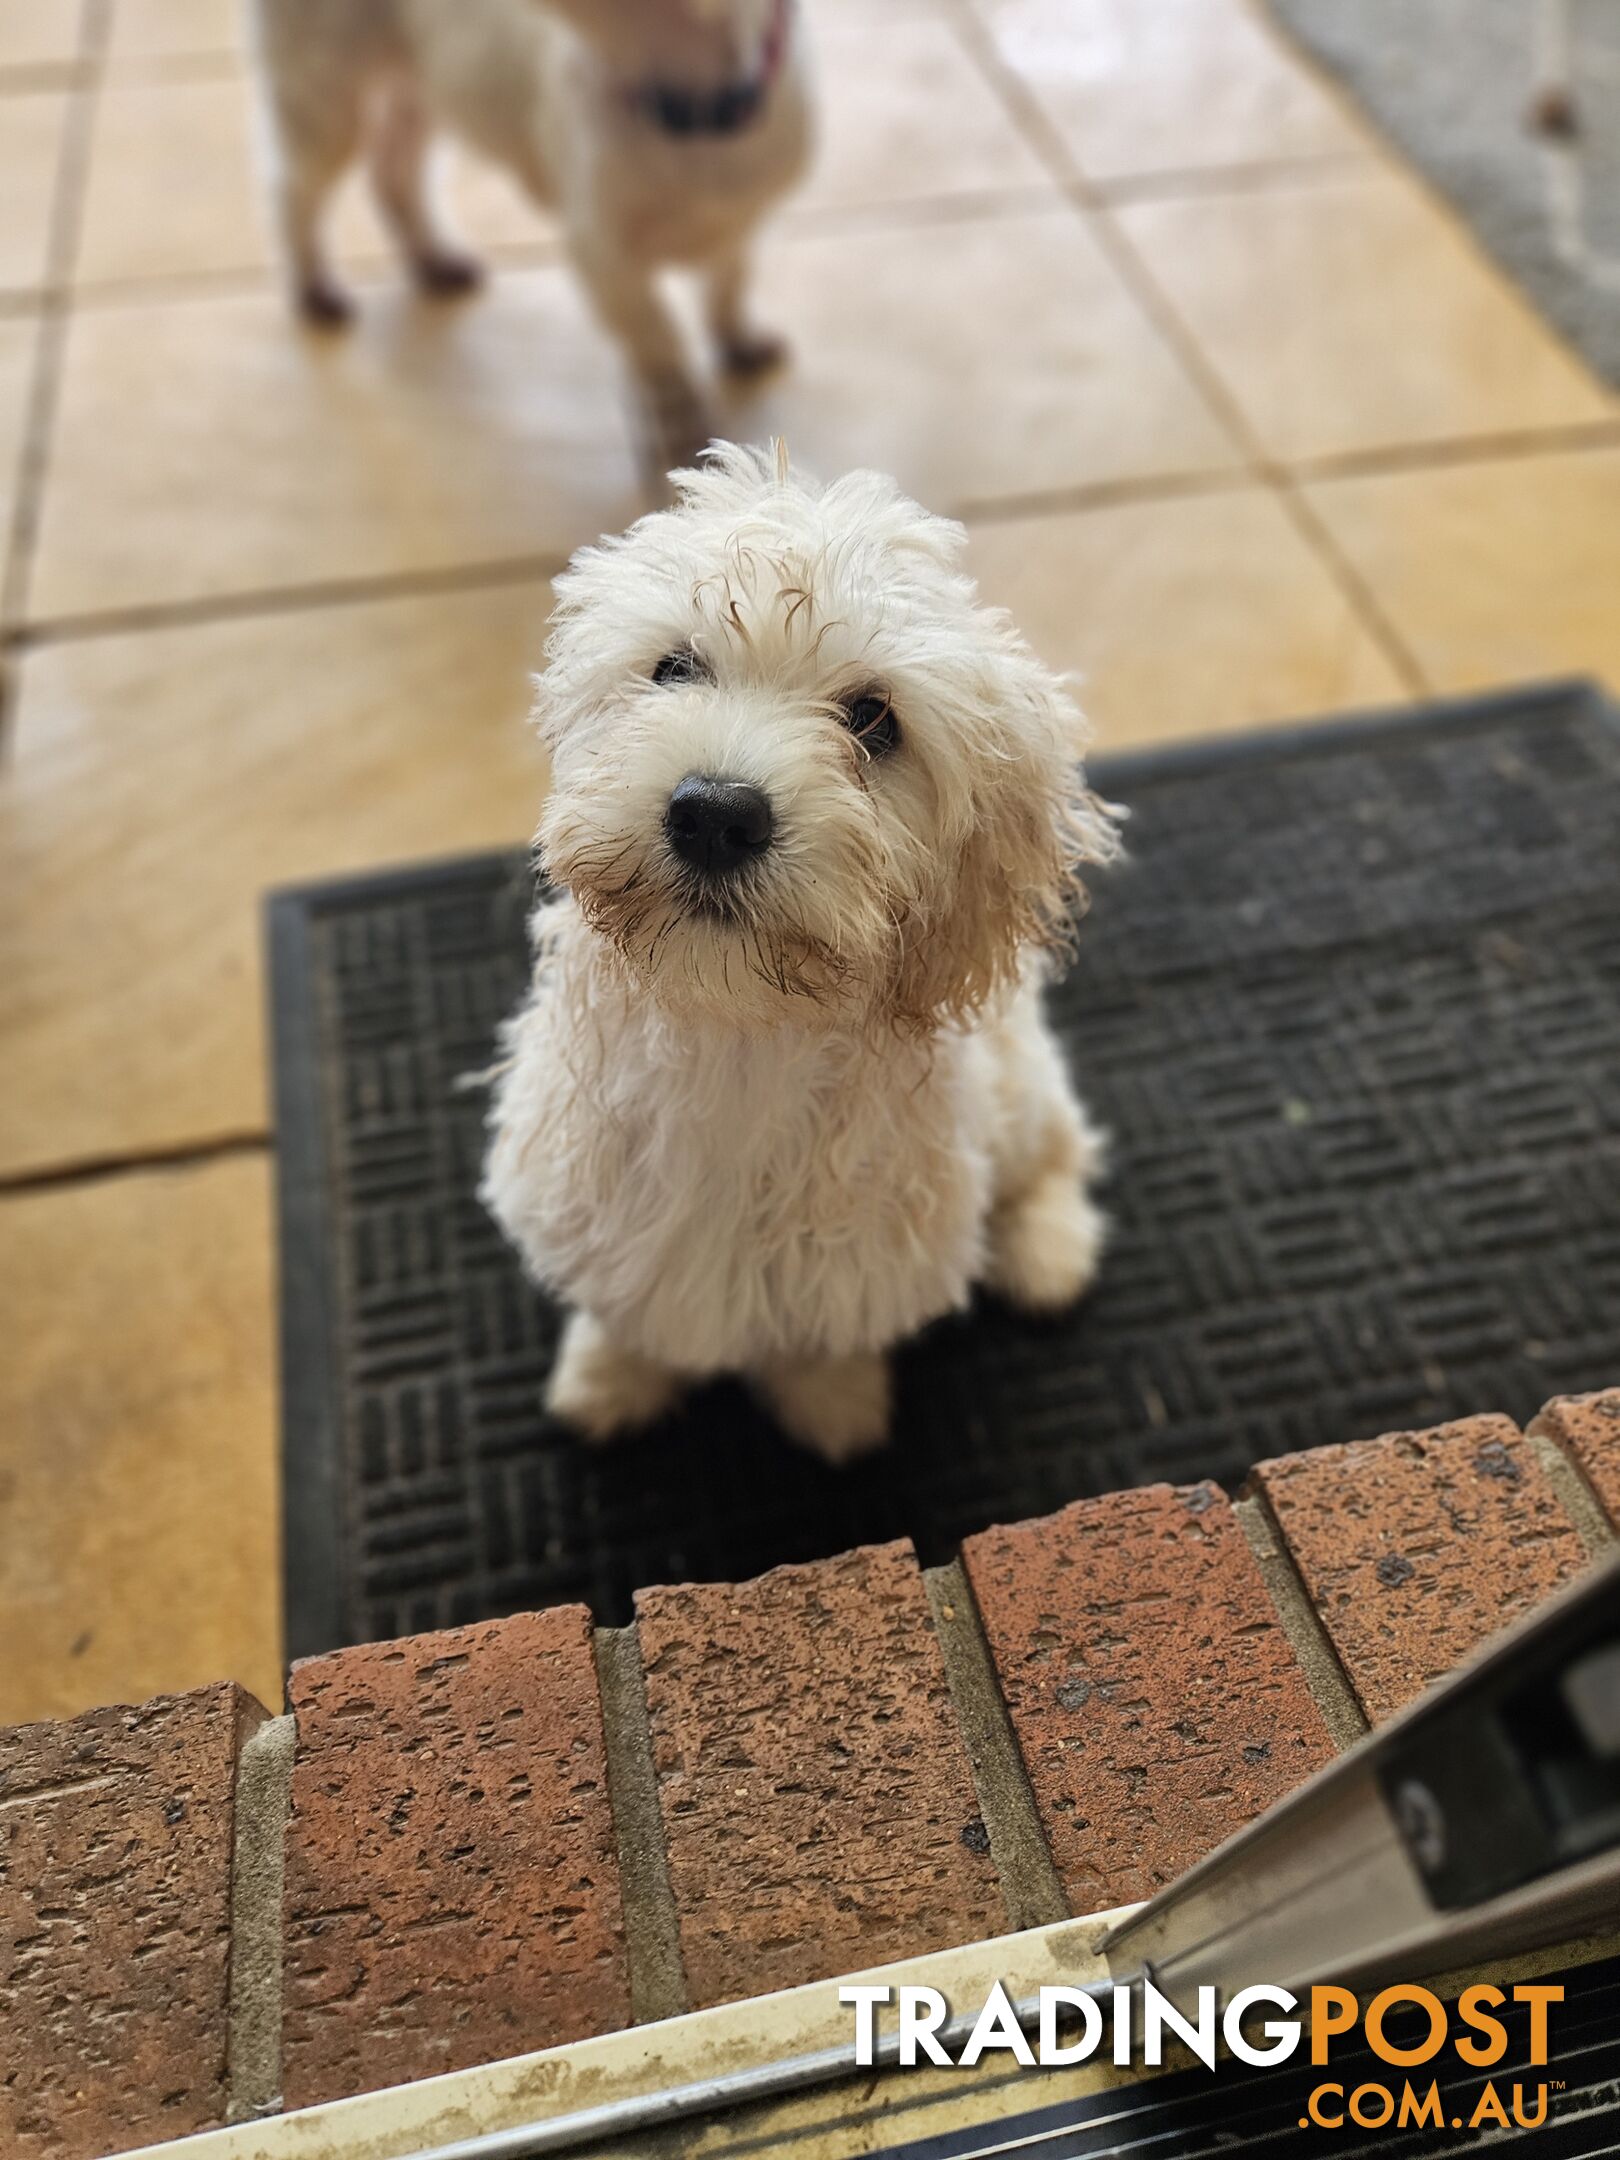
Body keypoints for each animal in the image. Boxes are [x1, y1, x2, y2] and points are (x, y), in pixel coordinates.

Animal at [249, 0, 816, 475]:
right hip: (326, 103)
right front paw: (682, 433)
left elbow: (728, 287)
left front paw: (738, 341)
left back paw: (434, 259)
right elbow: (659, 347)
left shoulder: (740, 225)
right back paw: (314, 287)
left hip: (420, 90)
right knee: (293, 195)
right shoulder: (604, 259)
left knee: (394, 176)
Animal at [475, 440, 1123, 1460]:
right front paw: (607, 1380)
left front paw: (835, 1407)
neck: (737, 1031)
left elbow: (829, 1334)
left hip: (1015, 1096)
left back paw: (1048, 1254)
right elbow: (625, 1306)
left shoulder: (865, 1249)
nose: (714, 814)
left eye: (873, 721)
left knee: (1055, 1148)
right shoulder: (587, 1197)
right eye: (673, 668)